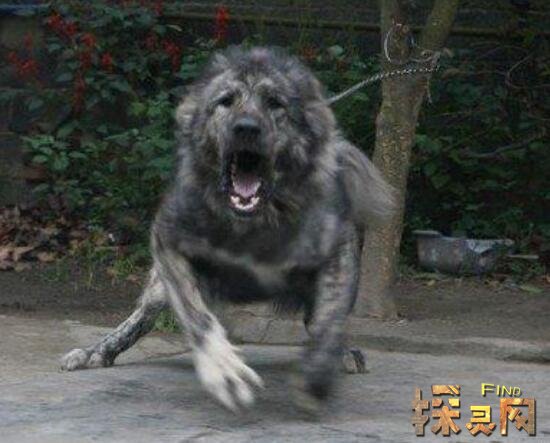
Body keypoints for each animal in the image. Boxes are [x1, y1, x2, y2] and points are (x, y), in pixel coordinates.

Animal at [61, 47, 394, 411]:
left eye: (275, 103)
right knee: (141, 318)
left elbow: (330, 323)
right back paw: (96, 352)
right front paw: (224, 370)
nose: (245, 128)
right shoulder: (169, 242)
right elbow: (198, 318)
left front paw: (318, 375)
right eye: (225, 101)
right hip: (159, 288)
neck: (254, 224)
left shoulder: (338, 252)